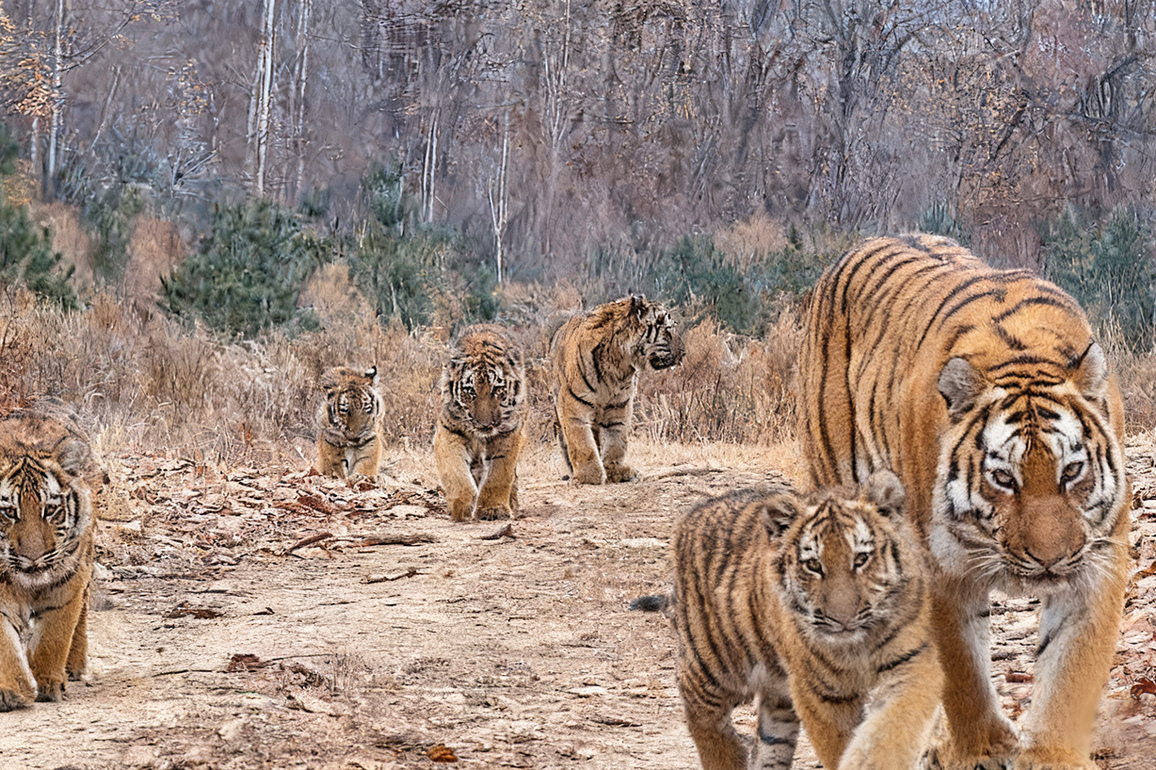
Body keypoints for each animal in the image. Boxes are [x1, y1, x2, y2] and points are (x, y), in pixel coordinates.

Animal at [0, 399, 101, 710]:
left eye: (50, 510)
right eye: (9, 512)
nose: (33, 557)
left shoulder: (68, 582)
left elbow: (54, 635)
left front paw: (48, 685)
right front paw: (11, 692)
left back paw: (74, 667)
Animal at [433, 324, 528, 522]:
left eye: (497, 389)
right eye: (471, 391)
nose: (484, 425)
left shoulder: (508, 433)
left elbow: (498, 474)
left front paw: (493, 510)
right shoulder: (448, 431)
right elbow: (455, 472)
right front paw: (461, 507)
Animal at [548, 294, 682, 484]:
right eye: (668, 331)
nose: (683, 353)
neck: (618, 363)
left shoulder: (619, 405)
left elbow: (616, 440)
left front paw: (615, 471)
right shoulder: (573, 404)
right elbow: (581, 441)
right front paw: (589, 476)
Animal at [667, 470, 940, 770]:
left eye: (861, 559)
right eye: (813, 565)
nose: (842, 619)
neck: (859, 646)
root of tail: (696, 510)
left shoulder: (912, 664)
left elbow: (891, 730)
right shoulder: (820, 694)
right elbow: (839, 745)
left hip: (777, 700)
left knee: (769, 743)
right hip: (711, 665)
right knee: (702, 717)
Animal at [798, 234, 1130, 770]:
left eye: (1071, 471)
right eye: (1003, 478)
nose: (1050, 559)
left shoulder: (1098, 559)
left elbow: (1071, 668)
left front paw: (1052, 755)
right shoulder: (939, 570)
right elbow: (962, 672)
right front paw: (984, 749)